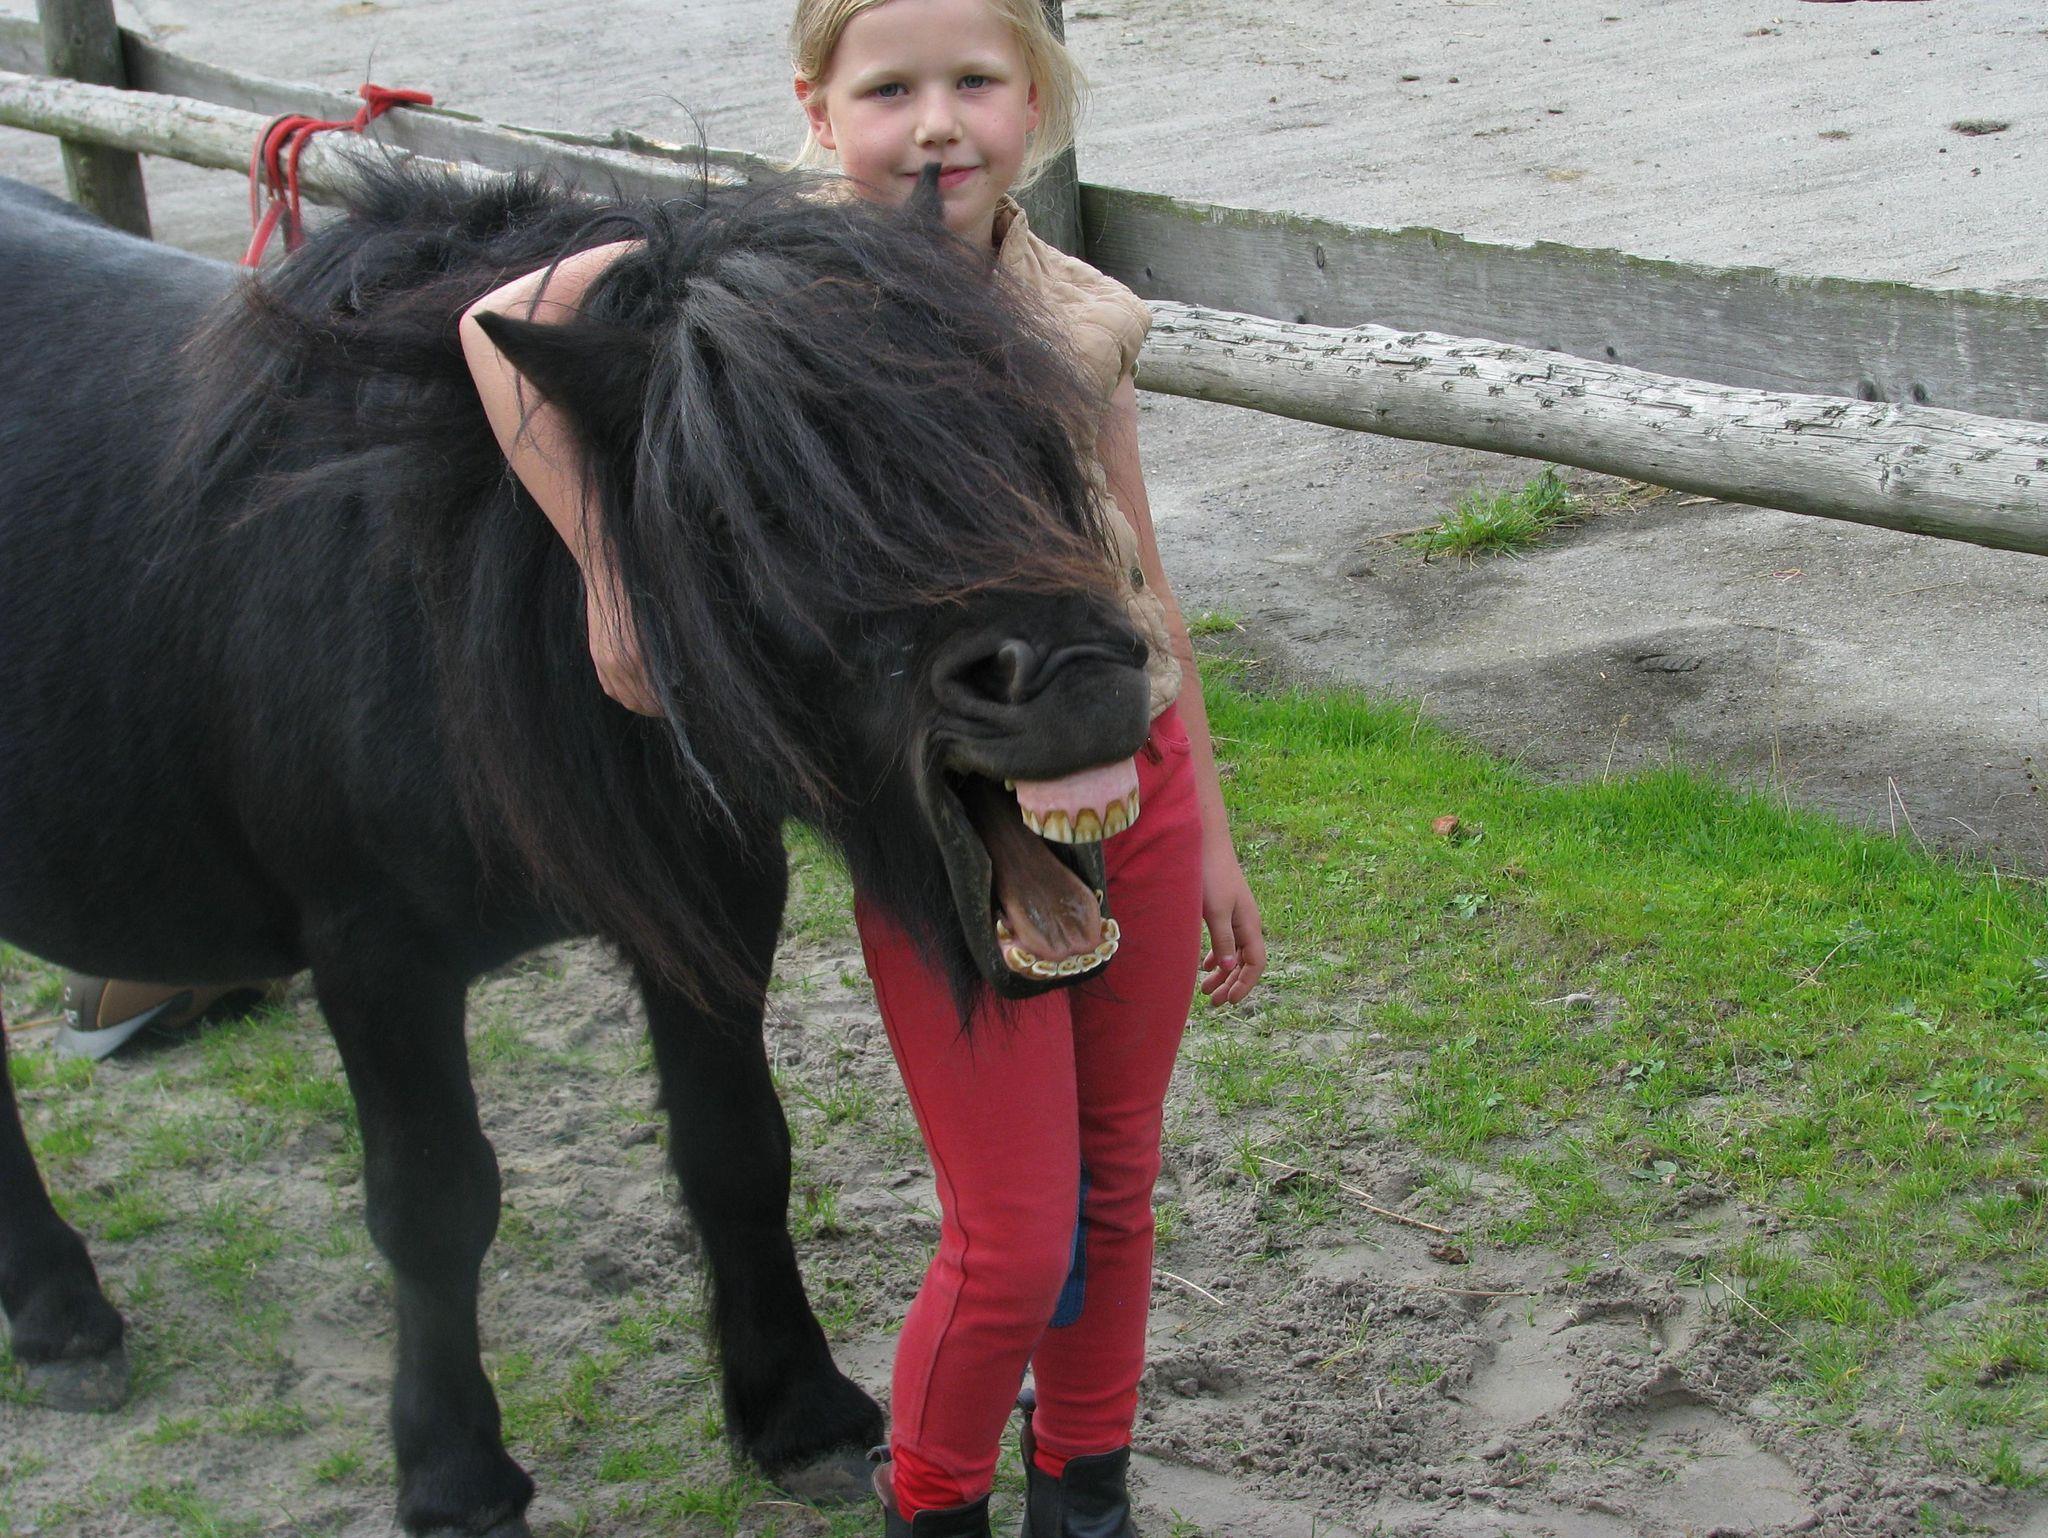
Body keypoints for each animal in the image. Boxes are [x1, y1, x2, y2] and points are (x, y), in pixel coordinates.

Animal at [0, 163, 1153, 1537]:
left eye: (1024, 430)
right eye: (763, 505)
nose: (1081, 677)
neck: (462, 594)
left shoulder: (714, 901)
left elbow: (736, 1149)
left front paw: (797, 1408)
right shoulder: (374, 955)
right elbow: (433, 1204)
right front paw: (453, 1471)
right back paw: (64, 1315)